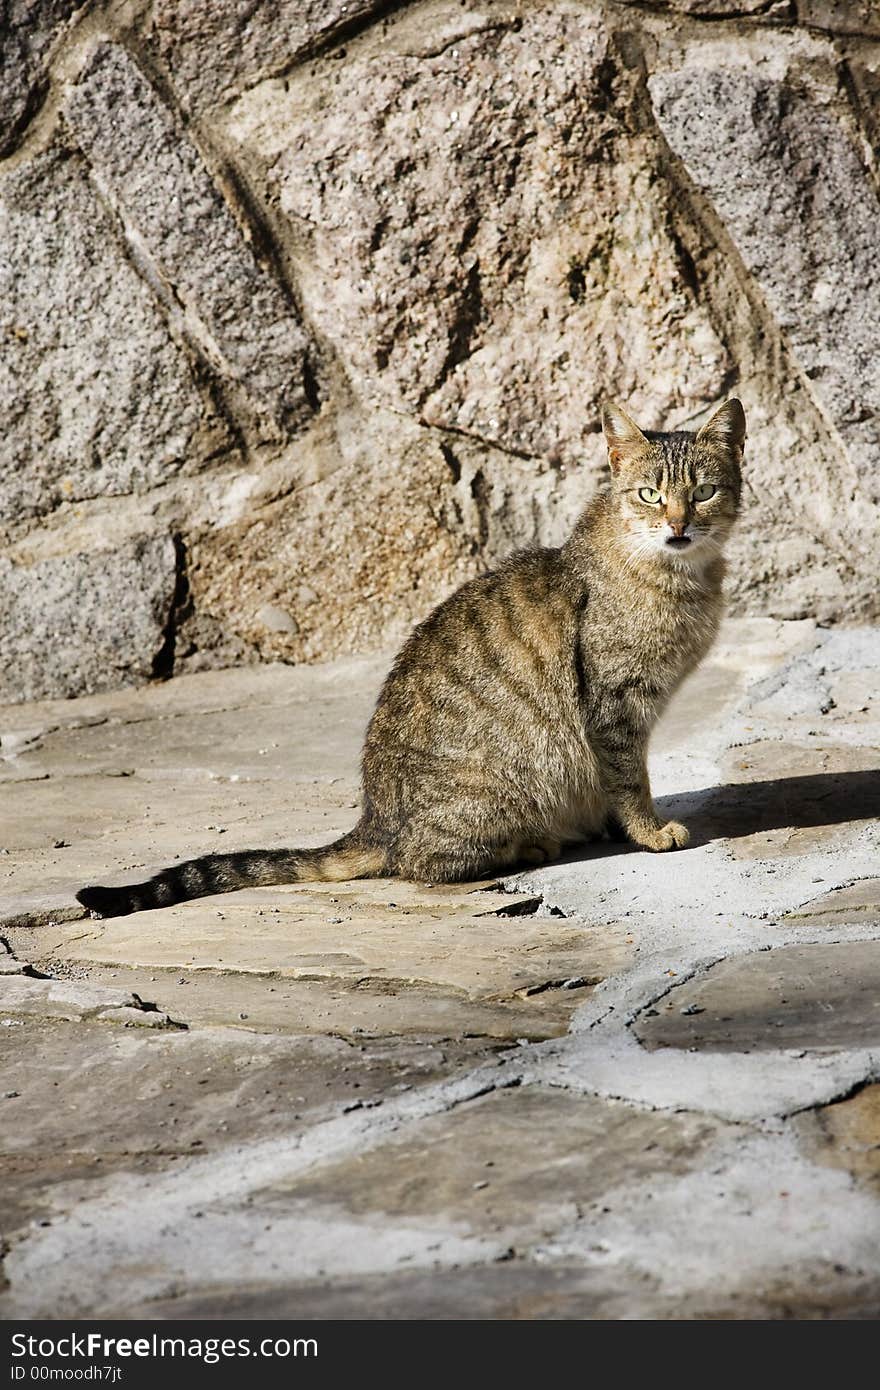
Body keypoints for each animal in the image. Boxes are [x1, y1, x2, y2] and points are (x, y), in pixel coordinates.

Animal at [78, 397, 745, 917]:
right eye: (650, 495)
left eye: (703, 492)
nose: (678, 526)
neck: (680, 576)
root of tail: (375, 818)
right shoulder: (614, 705)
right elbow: (630, 780)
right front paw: (649, 831)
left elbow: (620, 784)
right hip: (497, 791)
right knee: (419, 863)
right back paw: (529, 846)